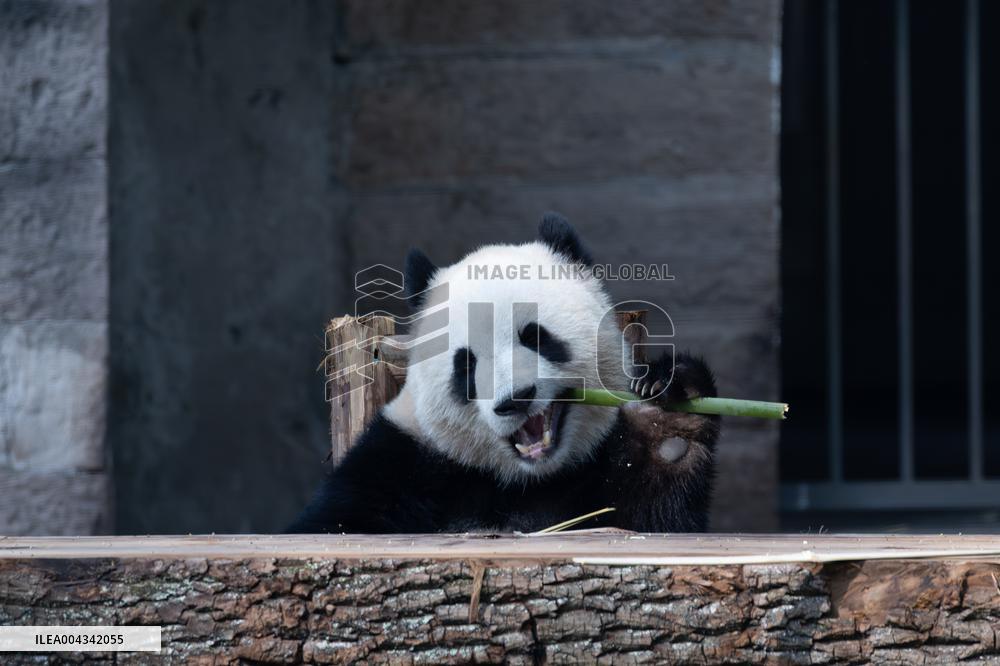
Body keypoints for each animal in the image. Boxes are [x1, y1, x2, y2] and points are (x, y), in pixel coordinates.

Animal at [288, 214, 719, 534]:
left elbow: (656, 518)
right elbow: (334, 522)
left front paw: (667, 422)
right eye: (466, 364)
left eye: (536, 337)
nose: (515, 400)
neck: (525, 479)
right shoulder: (400, 463)